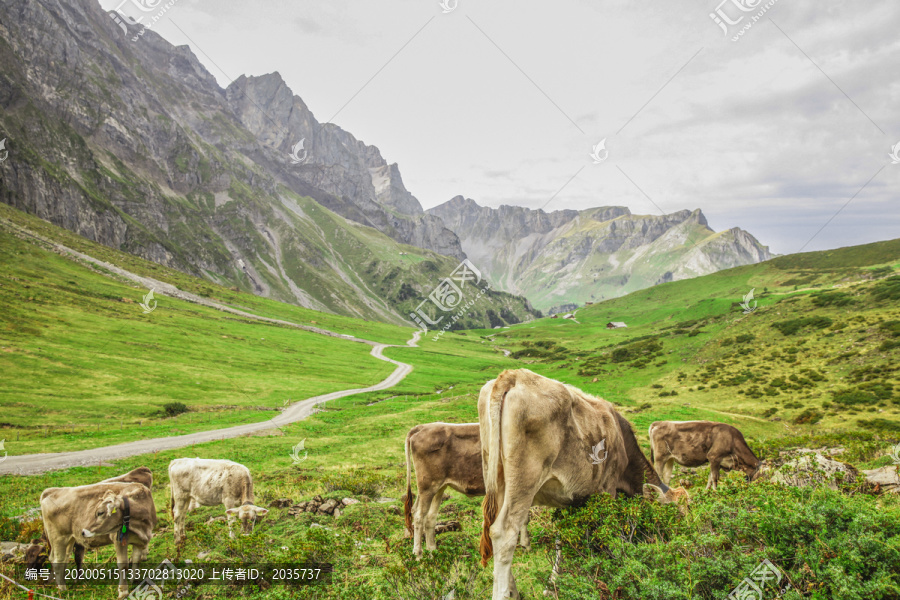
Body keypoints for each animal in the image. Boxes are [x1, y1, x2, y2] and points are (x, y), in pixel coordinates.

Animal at [404, 424, 532, 556]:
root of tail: (422, 427)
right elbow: (523, 518)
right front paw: (525, 545)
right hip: (428, 486)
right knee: (419, 516)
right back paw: (418, 554)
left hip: (437, 488)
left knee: (429, 516)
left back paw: (432, 550)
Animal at [478, 370, 684, 600]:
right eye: (676, 514)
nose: (677, 542)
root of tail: (514, 375)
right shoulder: (608, 487)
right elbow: (606, 531)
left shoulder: (570, 500)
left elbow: (562, 538)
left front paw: (553, 582)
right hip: (524, 481)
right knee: (504, 533)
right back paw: (504, 593)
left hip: (496, 476)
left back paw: (514, 590)